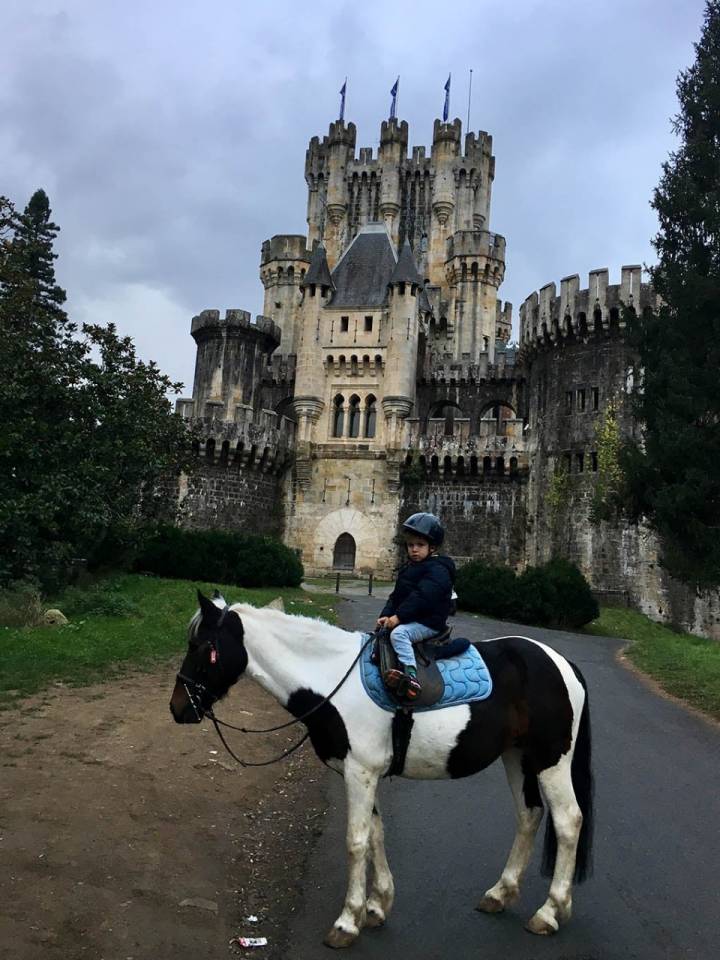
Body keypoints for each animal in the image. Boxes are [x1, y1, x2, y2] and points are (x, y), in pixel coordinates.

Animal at [172, 592, 592, 944]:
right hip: (517, 757)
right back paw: (500, 893)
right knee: (529, 815)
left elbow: (356, 840)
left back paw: (550, 911)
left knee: (568, 820)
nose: (178, 708)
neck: (332, 681)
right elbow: (376, 833)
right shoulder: (362, 771)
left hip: (551, 760)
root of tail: (563, 664)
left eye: (202, 647)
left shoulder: (359, 772)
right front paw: (376, 906)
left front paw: (347, 921)